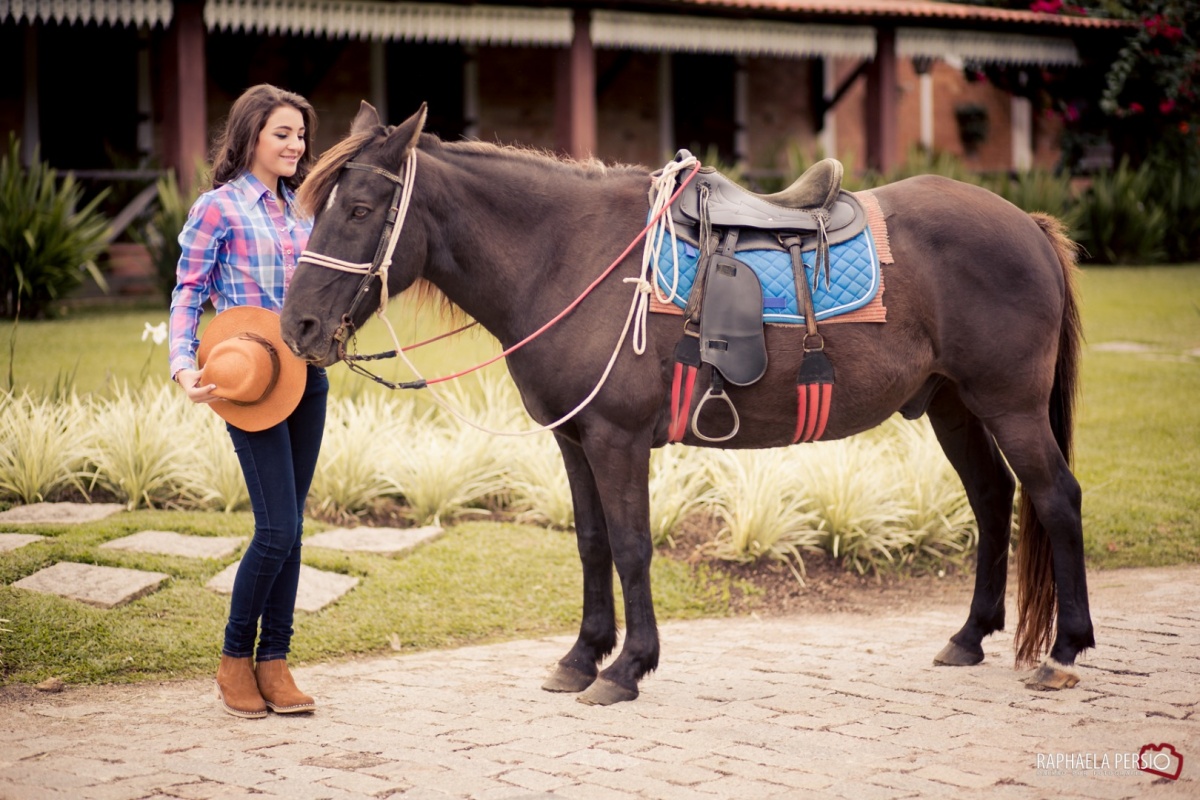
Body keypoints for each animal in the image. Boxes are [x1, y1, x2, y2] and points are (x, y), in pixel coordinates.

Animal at [281, 101, 1094, 706]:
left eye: (360, 208)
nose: (299, 328)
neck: (565, 255)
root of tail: (1027, 224)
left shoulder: (617, 439)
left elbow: (632, 546)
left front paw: (626, 668)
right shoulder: (574, 439)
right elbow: (592, 543)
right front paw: (581, 656)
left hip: (1011, 406)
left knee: (1055, 497)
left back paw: (1063, 650)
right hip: (956, 407)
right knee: (993, 500)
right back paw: (970, 636)